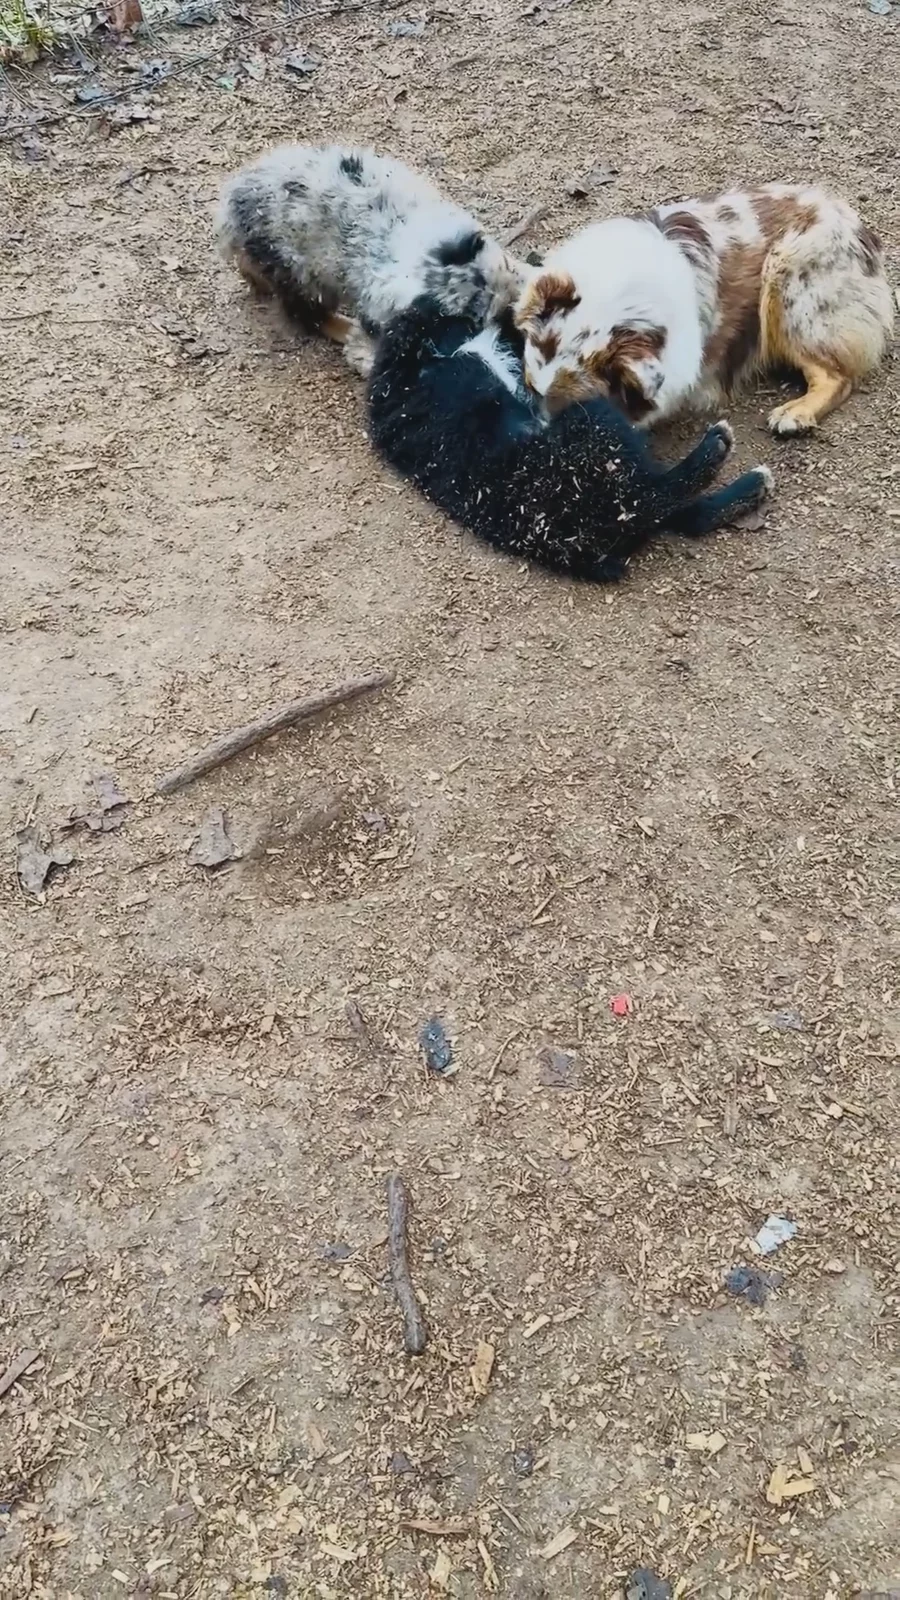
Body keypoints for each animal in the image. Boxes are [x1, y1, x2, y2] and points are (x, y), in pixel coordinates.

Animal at [216, 144, 526, 377]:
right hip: (298, 274)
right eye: (478, 321)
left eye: (503, 274)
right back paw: (344, 327)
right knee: (308, 315)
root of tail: (229, 217)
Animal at [367, 295, 774, 584]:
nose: (468, 312)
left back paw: (748, 488)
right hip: (597, 428)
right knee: (663, 495)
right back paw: (720, 453)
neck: (405, 373)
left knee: (682, 513)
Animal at [515, 184, 894, 435]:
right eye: (531, 390)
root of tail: (858, 228)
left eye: (575, 415)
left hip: (789, 285)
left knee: (837, 376)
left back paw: (795, 413)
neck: (617, 298)